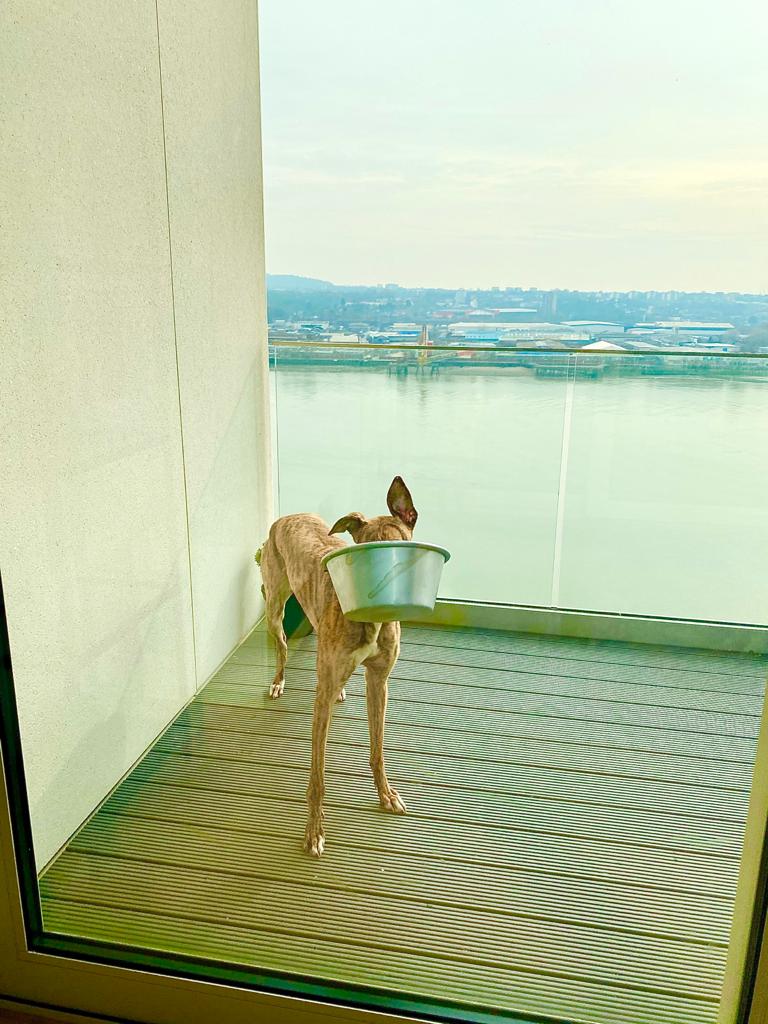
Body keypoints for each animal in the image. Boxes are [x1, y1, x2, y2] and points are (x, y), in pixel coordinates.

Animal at [256, 476, 418, 856]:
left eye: (401, 549)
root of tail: (288, 516)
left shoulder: (379, 682)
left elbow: (377, 751)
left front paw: (386, 794)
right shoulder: (322, 699)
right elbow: (317, 776)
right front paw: (314, 831)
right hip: (274, 607)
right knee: (282, 648)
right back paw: (278, 681)